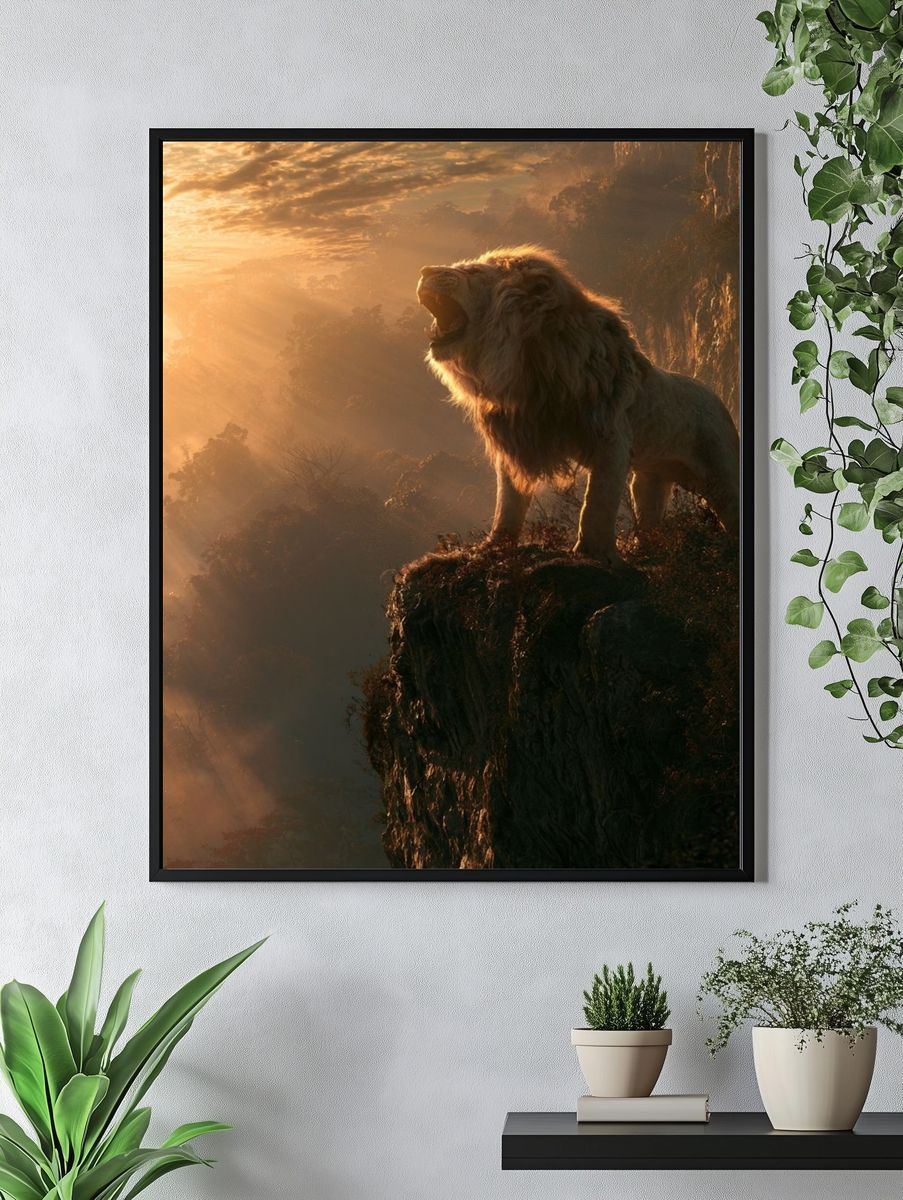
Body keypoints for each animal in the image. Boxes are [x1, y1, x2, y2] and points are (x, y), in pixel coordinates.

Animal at [417, 245, 740, 566]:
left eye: (473, 272)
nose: (424, 271)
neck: (528, 362)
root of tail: (717, 398)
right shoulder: (518, 437)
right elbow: (508, 501)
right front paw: (493, 546)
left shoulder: (612, 438)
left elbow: (597, 503)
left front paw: (592, 553)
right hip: (652, 475)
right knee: (649, 510)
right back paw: (645, 551)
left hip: (721, 471)